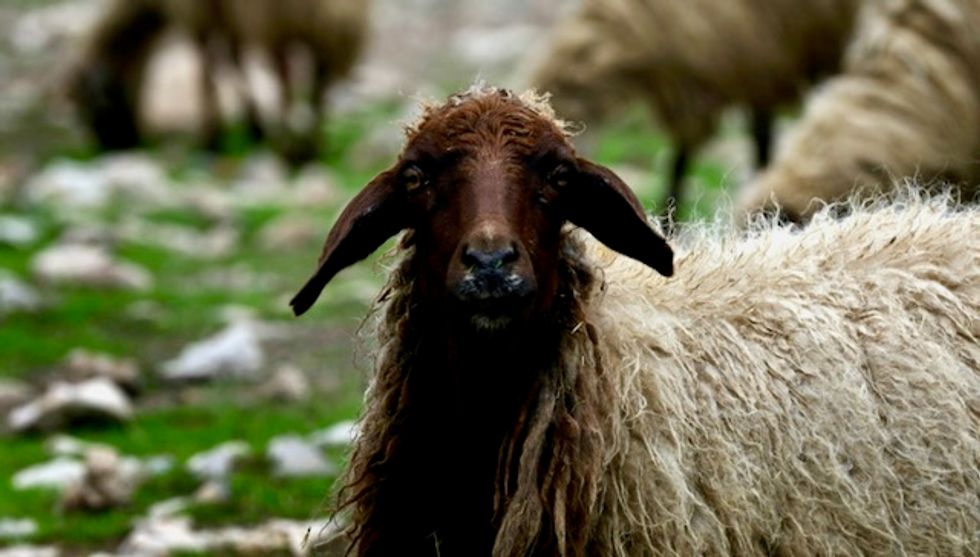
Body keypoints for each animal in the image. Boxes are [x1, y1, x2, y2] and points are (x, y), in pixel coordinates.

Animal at [68, 0, 369, 162]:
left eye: (90, 109)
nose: (114, 147)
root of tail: (335, 9)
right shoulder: (225, 14)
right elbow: (233, 59)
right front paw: (254, 127)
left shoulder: (197, 13)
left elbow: (209, 63)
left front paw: (212, 137)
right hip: (331, 35)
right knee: (319, 86)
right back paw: (311, 147)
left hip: (274, 21)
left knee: (284, 77)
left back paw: (290, 150)